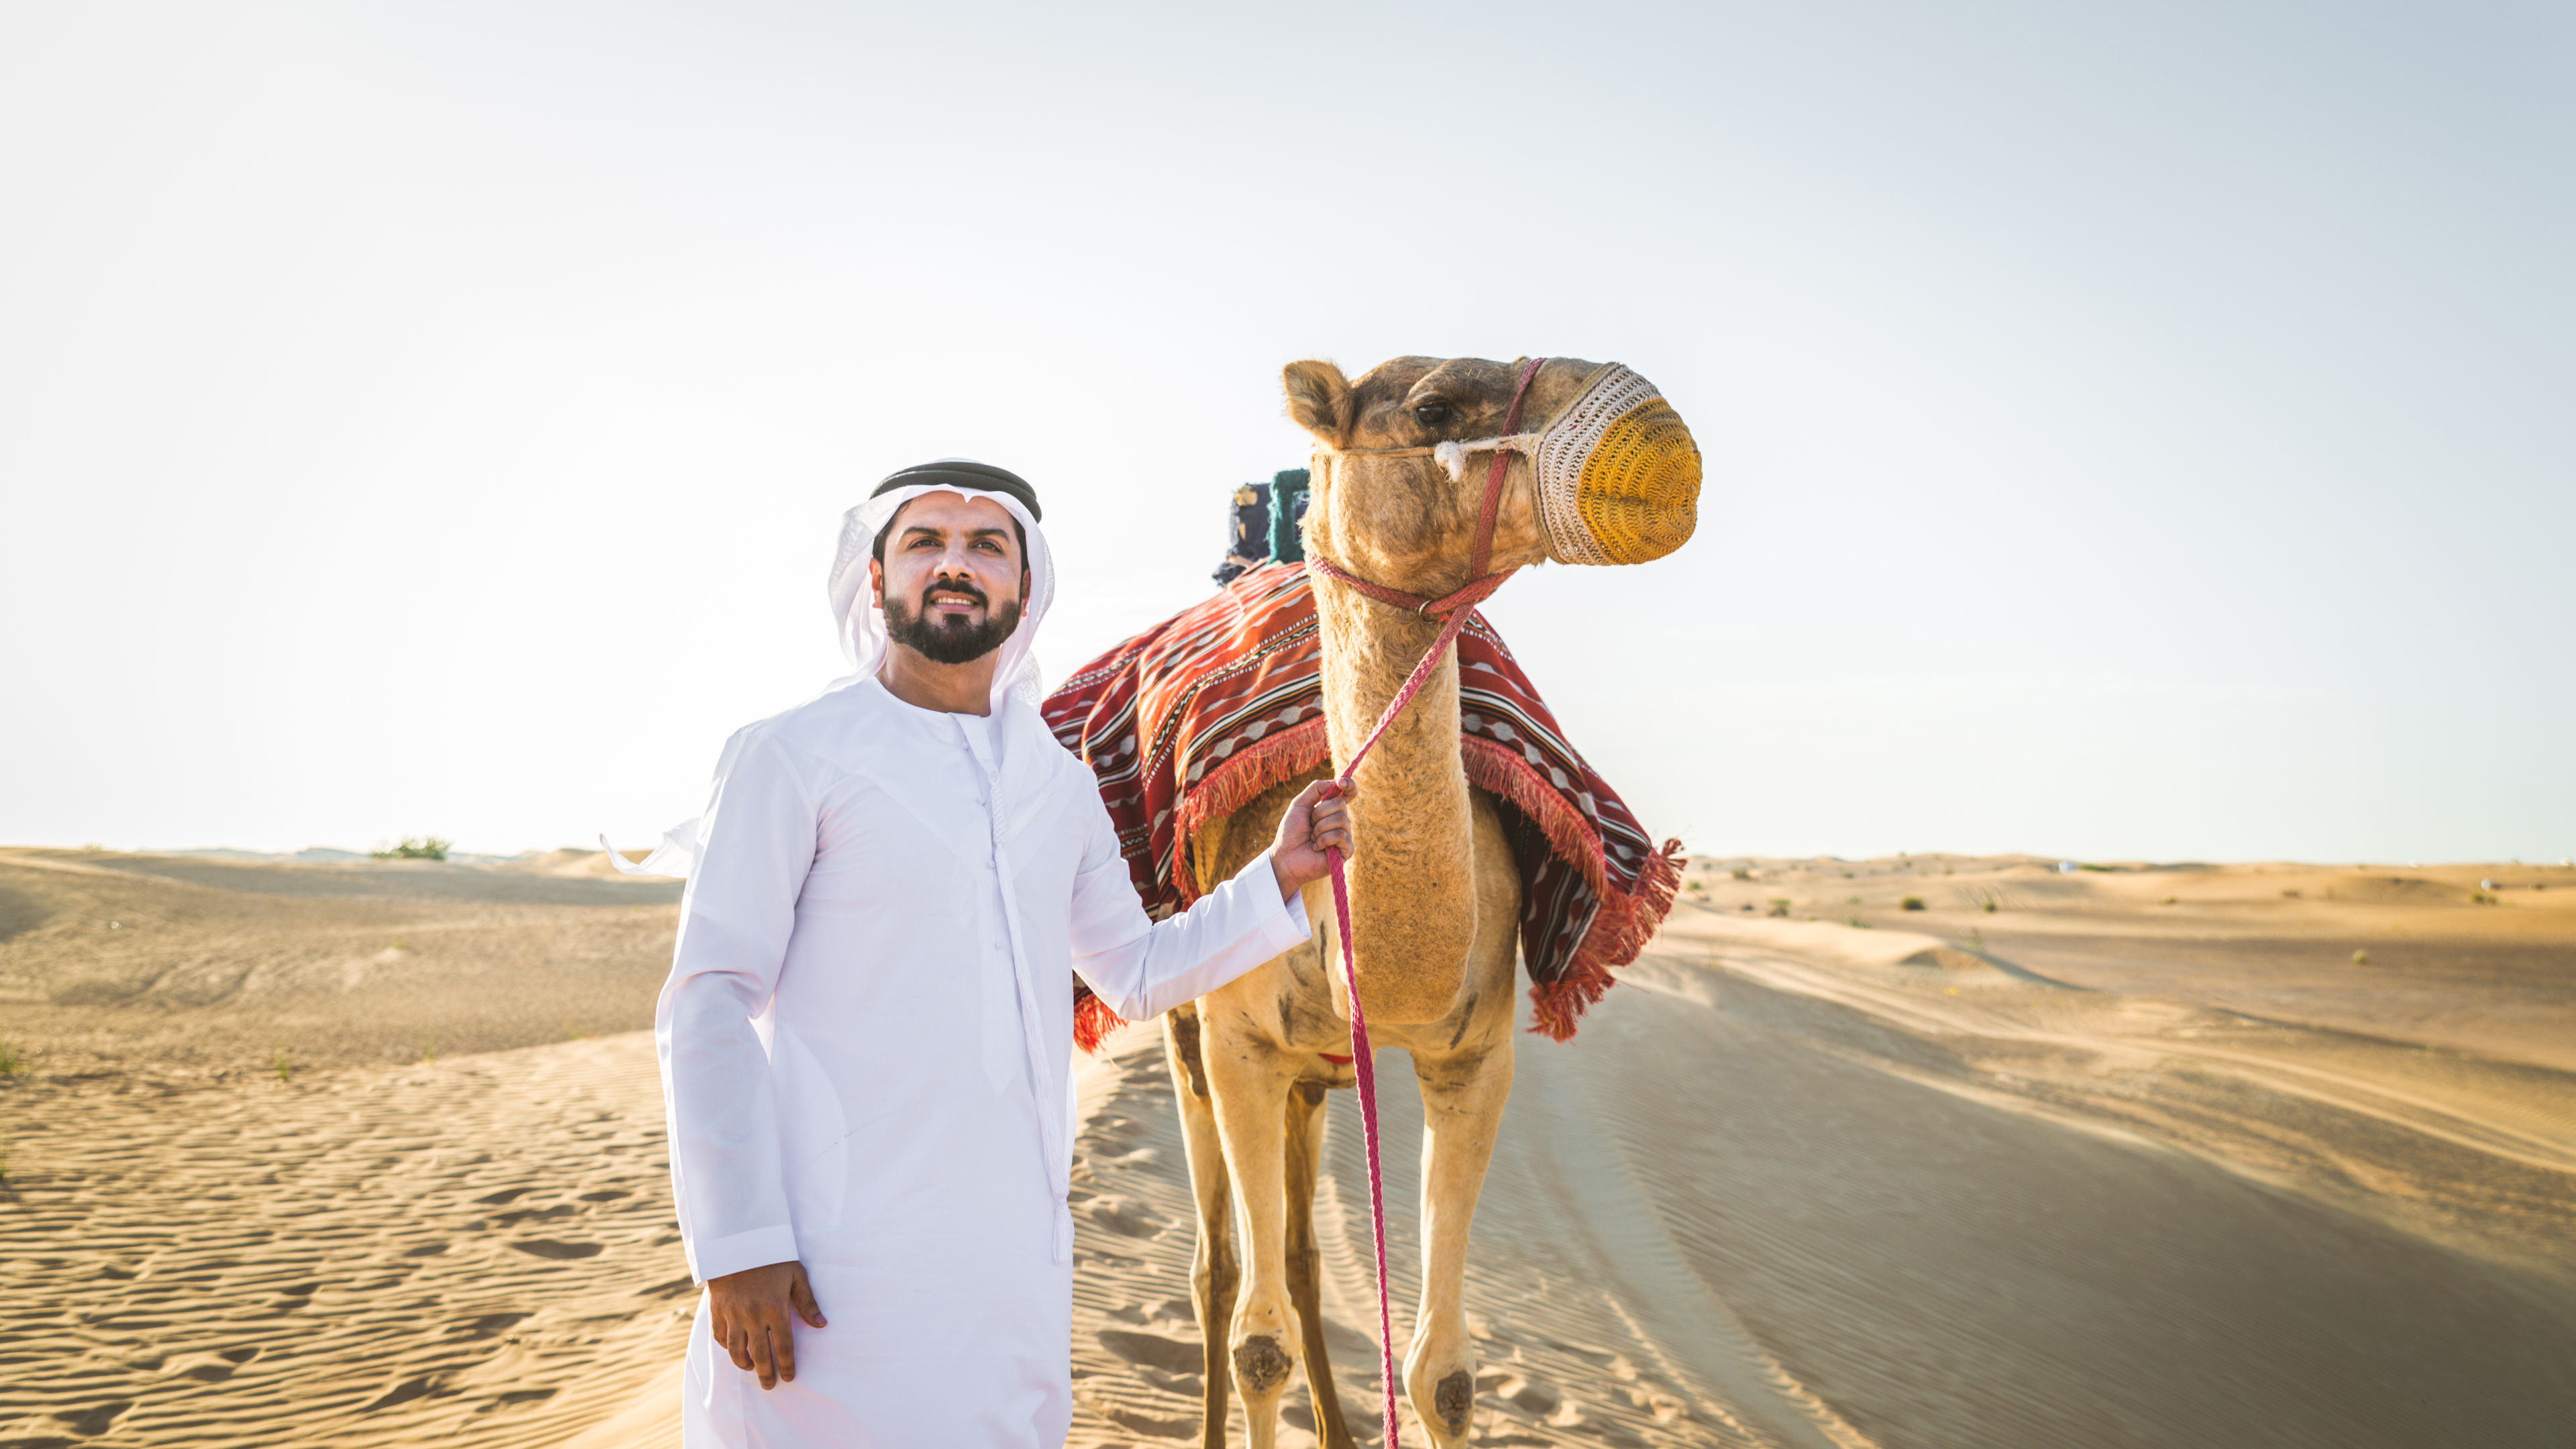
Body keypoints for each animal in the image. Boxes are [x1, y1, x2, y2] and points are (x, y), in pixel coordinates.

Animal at [1164, 353, 1690, 1444]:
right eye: (1434, 406)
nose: (1654, 422)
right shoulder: (1240, 1047)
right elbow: (1257, 1345)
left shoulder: (1474, 1056)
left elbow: (1443, 1374)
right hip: (1187, 1045)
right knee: (1218, 1269)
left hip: (1315, 1077)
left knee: (1300, 1255)